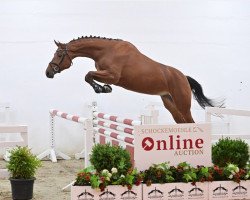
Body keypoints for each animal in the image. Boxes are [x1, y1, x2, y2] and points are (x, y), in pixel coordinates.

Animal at [45, 36, 225, 123]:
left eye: (59, 54)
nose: (48, 72)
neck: (106, 50)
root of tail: (184, 78)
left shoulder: (113, 75)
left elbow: (88, 75)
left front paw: (100, 89)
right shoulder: (107, 74)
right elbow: (91, 76)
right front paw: (105, 88)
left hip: (182, 104)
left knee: (190, 122)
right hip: (169, 102)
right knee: (182, 123)